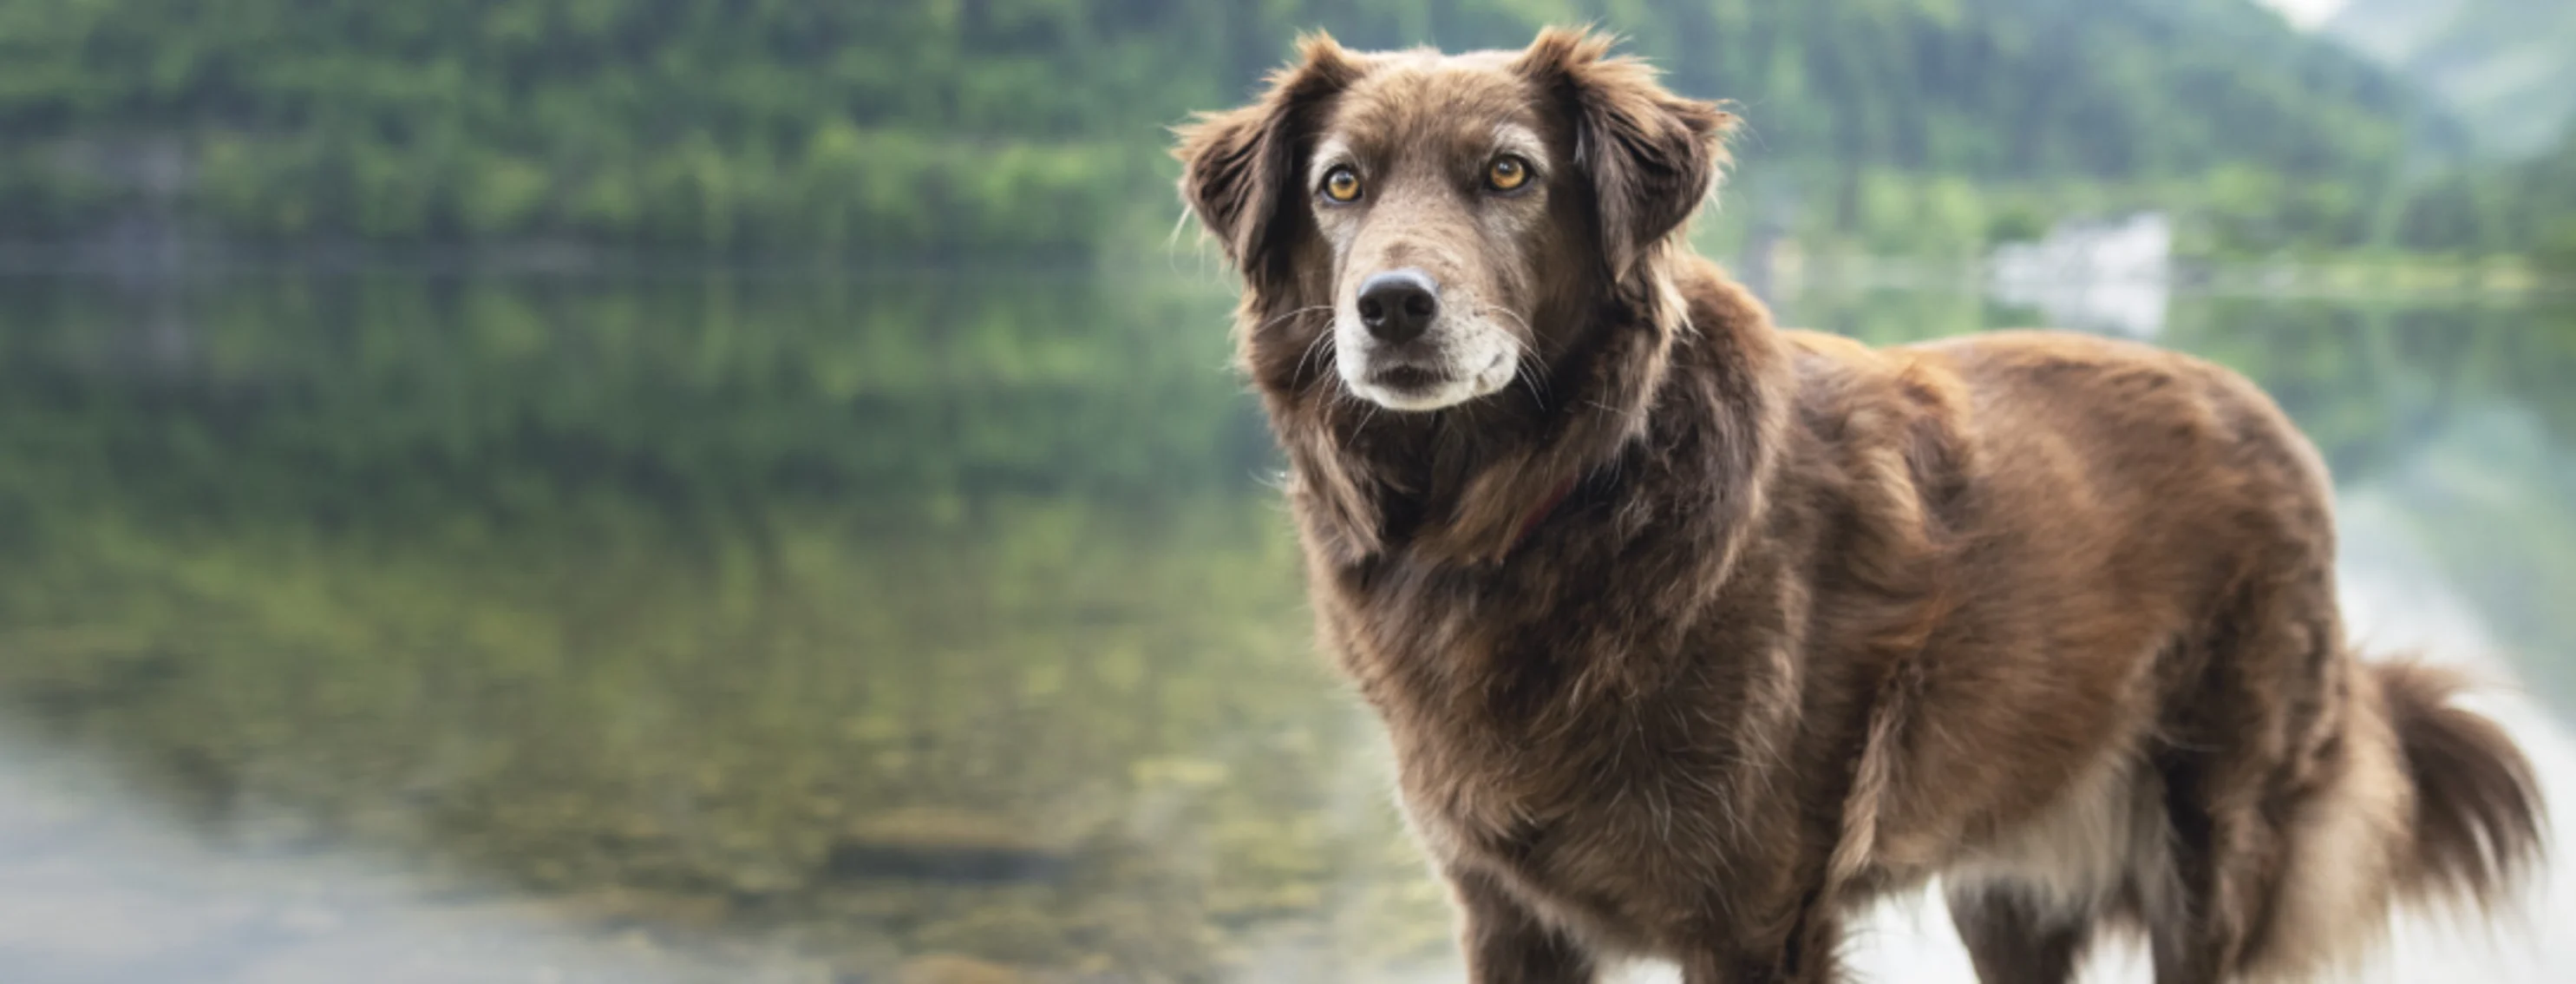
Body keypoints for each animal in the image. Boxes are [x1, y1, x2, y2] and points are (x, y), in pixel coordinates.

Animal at [1180, 30, 2545, 984]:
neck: (1538, 503)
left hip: (2216, 842)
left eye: (1508, 173)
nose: (1391, 308)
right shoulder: (1507, 914)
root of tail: (2267, 416)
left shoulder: (1754, 915)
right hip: (2008, 883)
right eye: (1341, 186)